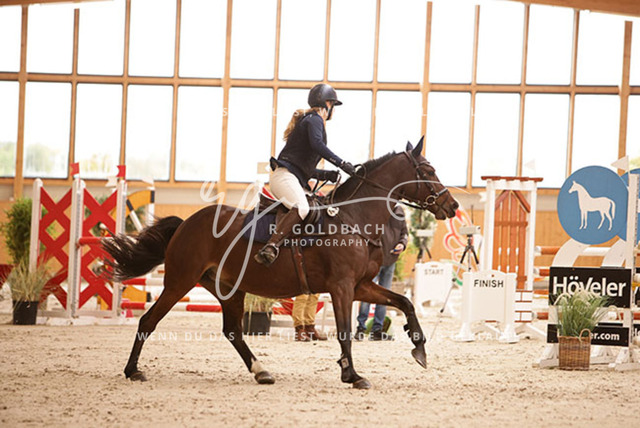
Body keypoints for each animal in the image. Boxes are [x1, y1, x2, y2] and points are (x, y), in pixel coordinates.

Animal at [102, 137, 459, 389]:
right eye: (428, 172)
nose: (452, 205)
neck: (353, 218)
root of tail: (187, 223)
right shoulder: (342, 287)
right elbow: (345, 331)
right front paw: (352, 375)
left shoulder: (361, 286)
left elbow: (405, 302)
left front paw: (419, 349)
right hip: (179, 281)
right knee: (148, 321)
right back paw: (133, 370)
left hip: (228, 288)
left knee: (233, 331)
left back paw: (261, 371)